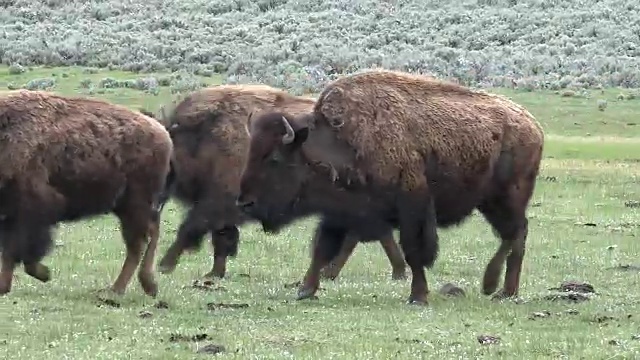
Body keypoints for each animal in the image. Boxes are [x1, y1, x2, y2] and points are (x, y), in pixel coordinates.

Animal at [0, 90, 172, 298]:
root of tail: (162, 132)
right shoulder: (12, 216)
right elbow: (11, 252)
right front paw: (4, 286)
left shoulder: (32, 211)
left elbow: (21, 252)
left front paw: (44, 274)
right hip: (129, 207)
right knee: (149, 236)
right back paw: (145, 286)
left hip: (136, 206)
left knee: (139, 244)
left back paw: (117, 290)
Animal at [151, 85, 404, 282]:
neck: (205, 138)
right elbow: (220, 238)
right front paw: (214, 273)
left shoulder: (217, 203)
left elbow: (190, 229)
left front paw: (165, 266)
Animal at [235, 69, 544, 304]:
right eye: (250, 153)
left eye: (274, 159)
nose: (244, 203)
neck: (341, 140)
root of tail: (533, 125)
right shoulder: (340, 211)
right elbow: (322, 248)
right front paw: (305, 290)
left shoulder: (412, 207)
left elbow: (413, 251)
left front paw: (418, 296)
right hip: (491, 202)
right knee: (513, 234)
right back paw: (503, 290)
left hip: (506, 198)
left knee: (516, 233)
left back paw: (495, 287)